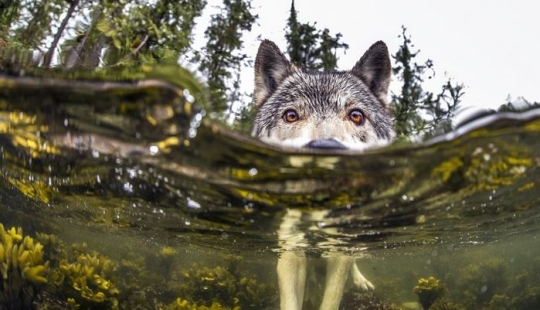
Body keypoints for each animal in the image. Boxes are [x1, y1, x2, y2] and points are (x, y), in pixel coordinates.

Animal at [251, 40, 394, 310]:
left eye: (356, 115)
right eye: (291, 115)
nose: (325, 149)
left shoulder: (338, 251)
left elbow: (332, 296)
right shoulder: (291, 251)